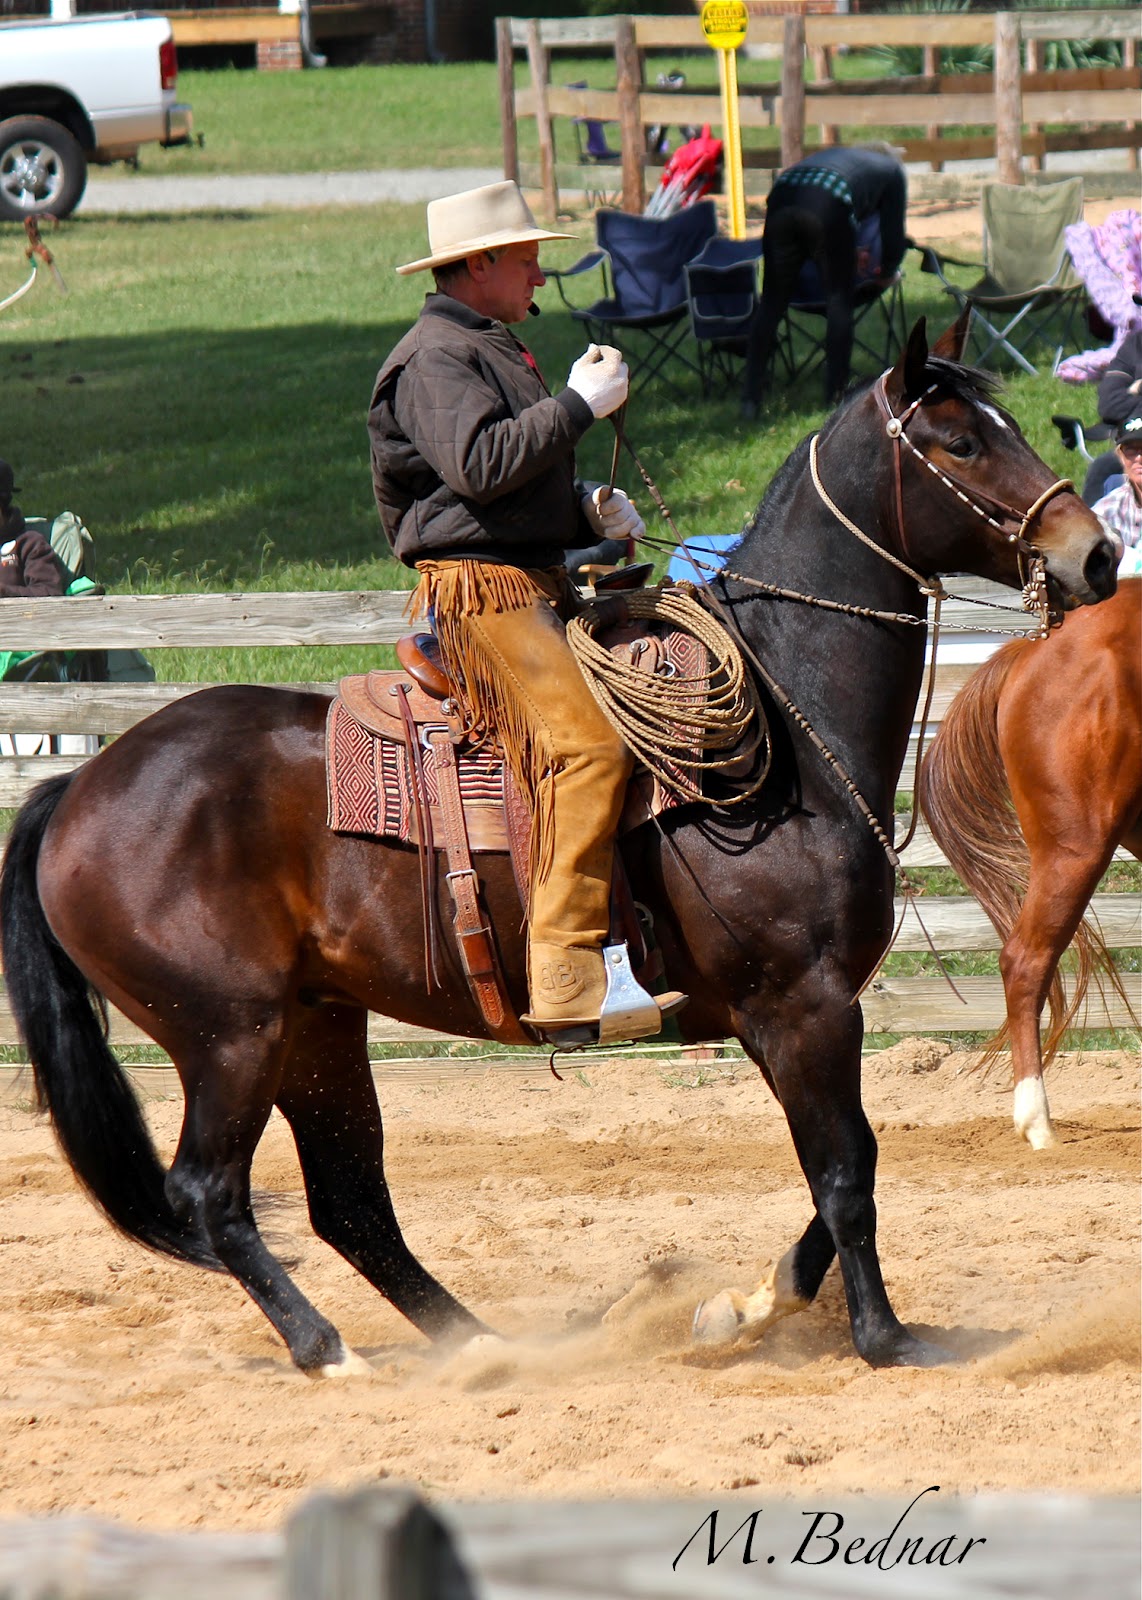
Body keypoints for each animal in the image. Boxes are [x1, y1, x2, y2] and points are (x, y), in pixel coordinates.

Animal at [0, 318, 1117, 1378]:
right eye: (960, 442)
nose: (1094, 555)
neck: (782, 722)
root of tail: (79, 787)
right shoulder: (801, 1004)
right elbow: (846, 1173)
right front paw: (883, 1338)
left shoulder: (797, 1014)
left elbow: (847, 1169)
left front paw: (739, 1308)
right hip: (230, 1034)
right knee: (211, 1193)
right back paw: (331, 1352)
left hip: (317, 1027)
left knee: (350, 1199)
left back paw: (480, 1346)